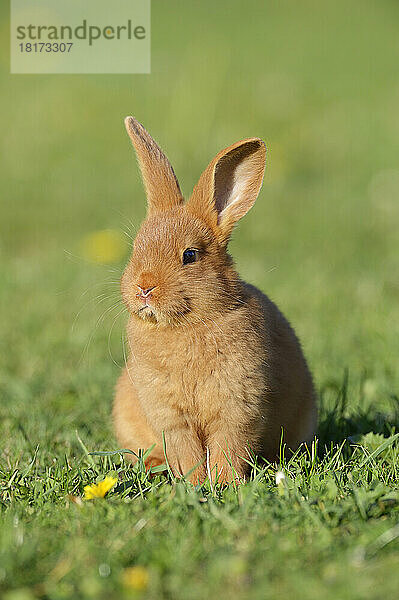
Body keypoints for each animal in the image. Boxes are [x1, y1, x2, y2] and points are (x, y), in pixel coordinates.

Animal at [113, 116, 318, 482]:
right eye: (137, 247)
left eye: (190, 255)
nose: (144, 287)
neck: (186, 325)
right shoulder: (169, 414)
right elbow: (186, 449)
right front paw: (194, 483)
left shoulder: (238, 405)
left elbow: (228, 447)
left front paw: (223, 483)